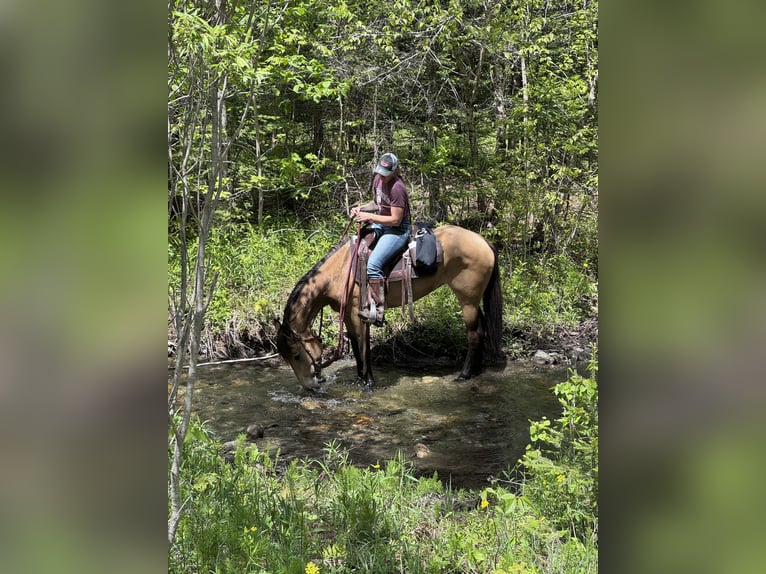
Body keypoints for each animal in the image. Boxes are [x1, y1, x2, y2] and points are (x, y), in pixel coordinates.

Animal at [275, 224, 504, 391]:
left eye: (296, 355)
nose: (309, 386)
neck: (339, 273)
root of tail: (483, 241)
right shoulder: (348, 315)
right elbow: (356, 347)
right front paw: (360, 379)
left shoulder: (359, 313)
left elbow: (363, 347)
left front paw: (368, 383)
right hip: (473, 300)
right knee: (481, 329)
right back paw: (475, 370)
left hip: (467, 300)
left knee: (473, 334)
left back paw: (464, 375)